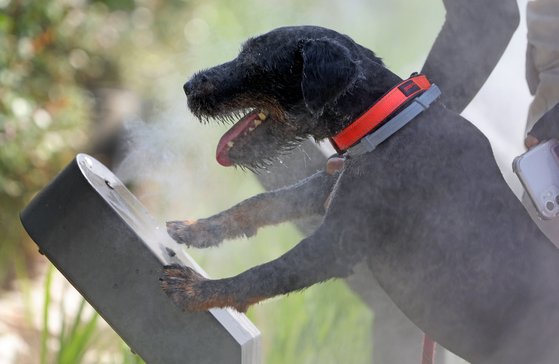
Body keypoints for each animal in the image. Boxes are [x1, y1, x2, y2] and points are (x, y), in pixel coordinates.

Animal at [159, 27, 559, 362]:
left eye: (256, 61)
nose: (188, 86)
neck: (384, 122)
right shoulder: (333, 184)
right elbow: (263, 202)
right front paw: (198, 227)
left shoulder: (335, 245)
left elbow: (262, 275)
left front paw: (197, 290)